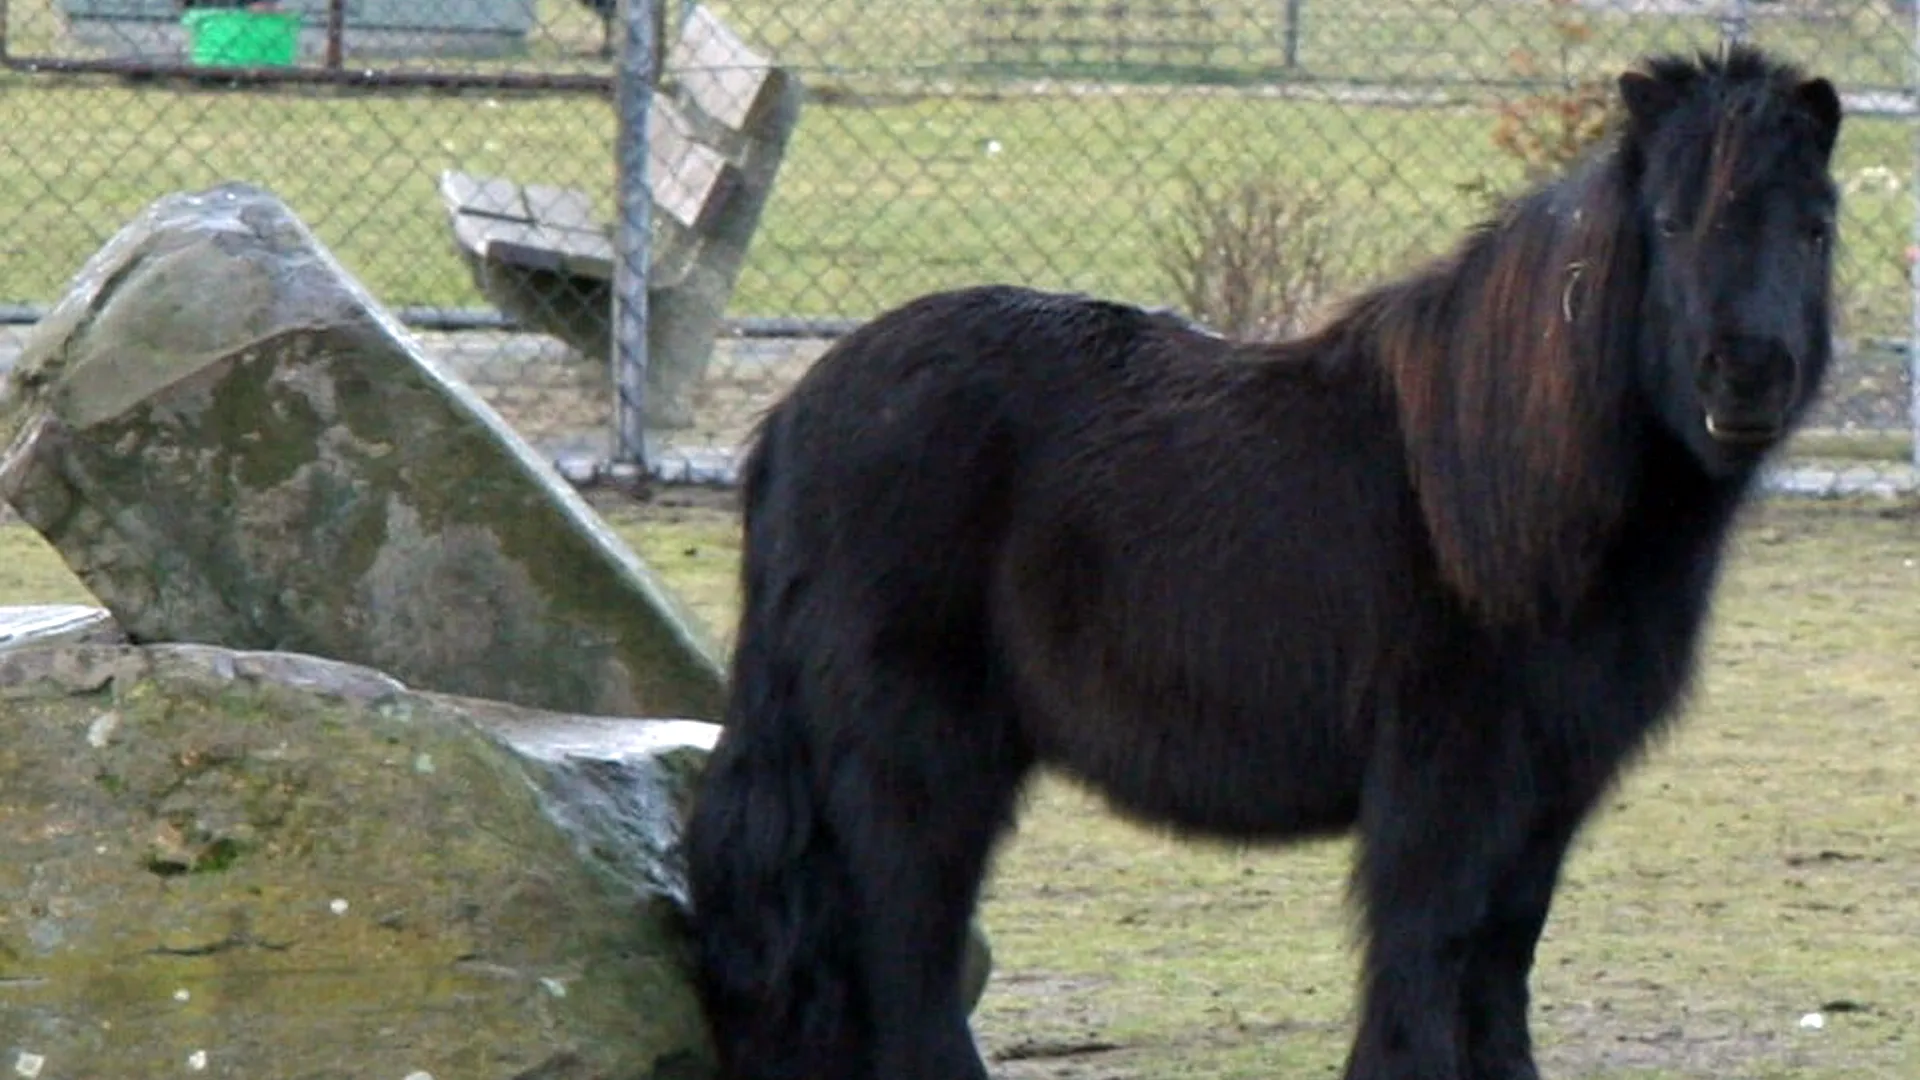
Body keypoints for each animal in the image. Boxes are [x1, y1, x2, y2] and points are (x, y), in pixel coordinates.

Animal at [682, 43, 1843, 1080]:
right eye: (1671, 222)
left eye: (1815, 225)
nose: (1744, 378)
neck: (1508, 484)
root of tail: (792, 414)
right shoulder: (1447, 787)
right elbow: (1425, 966)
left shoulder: (1545, 796)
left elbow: (1496, 971)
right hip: (917, 759)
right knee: (904, 951)